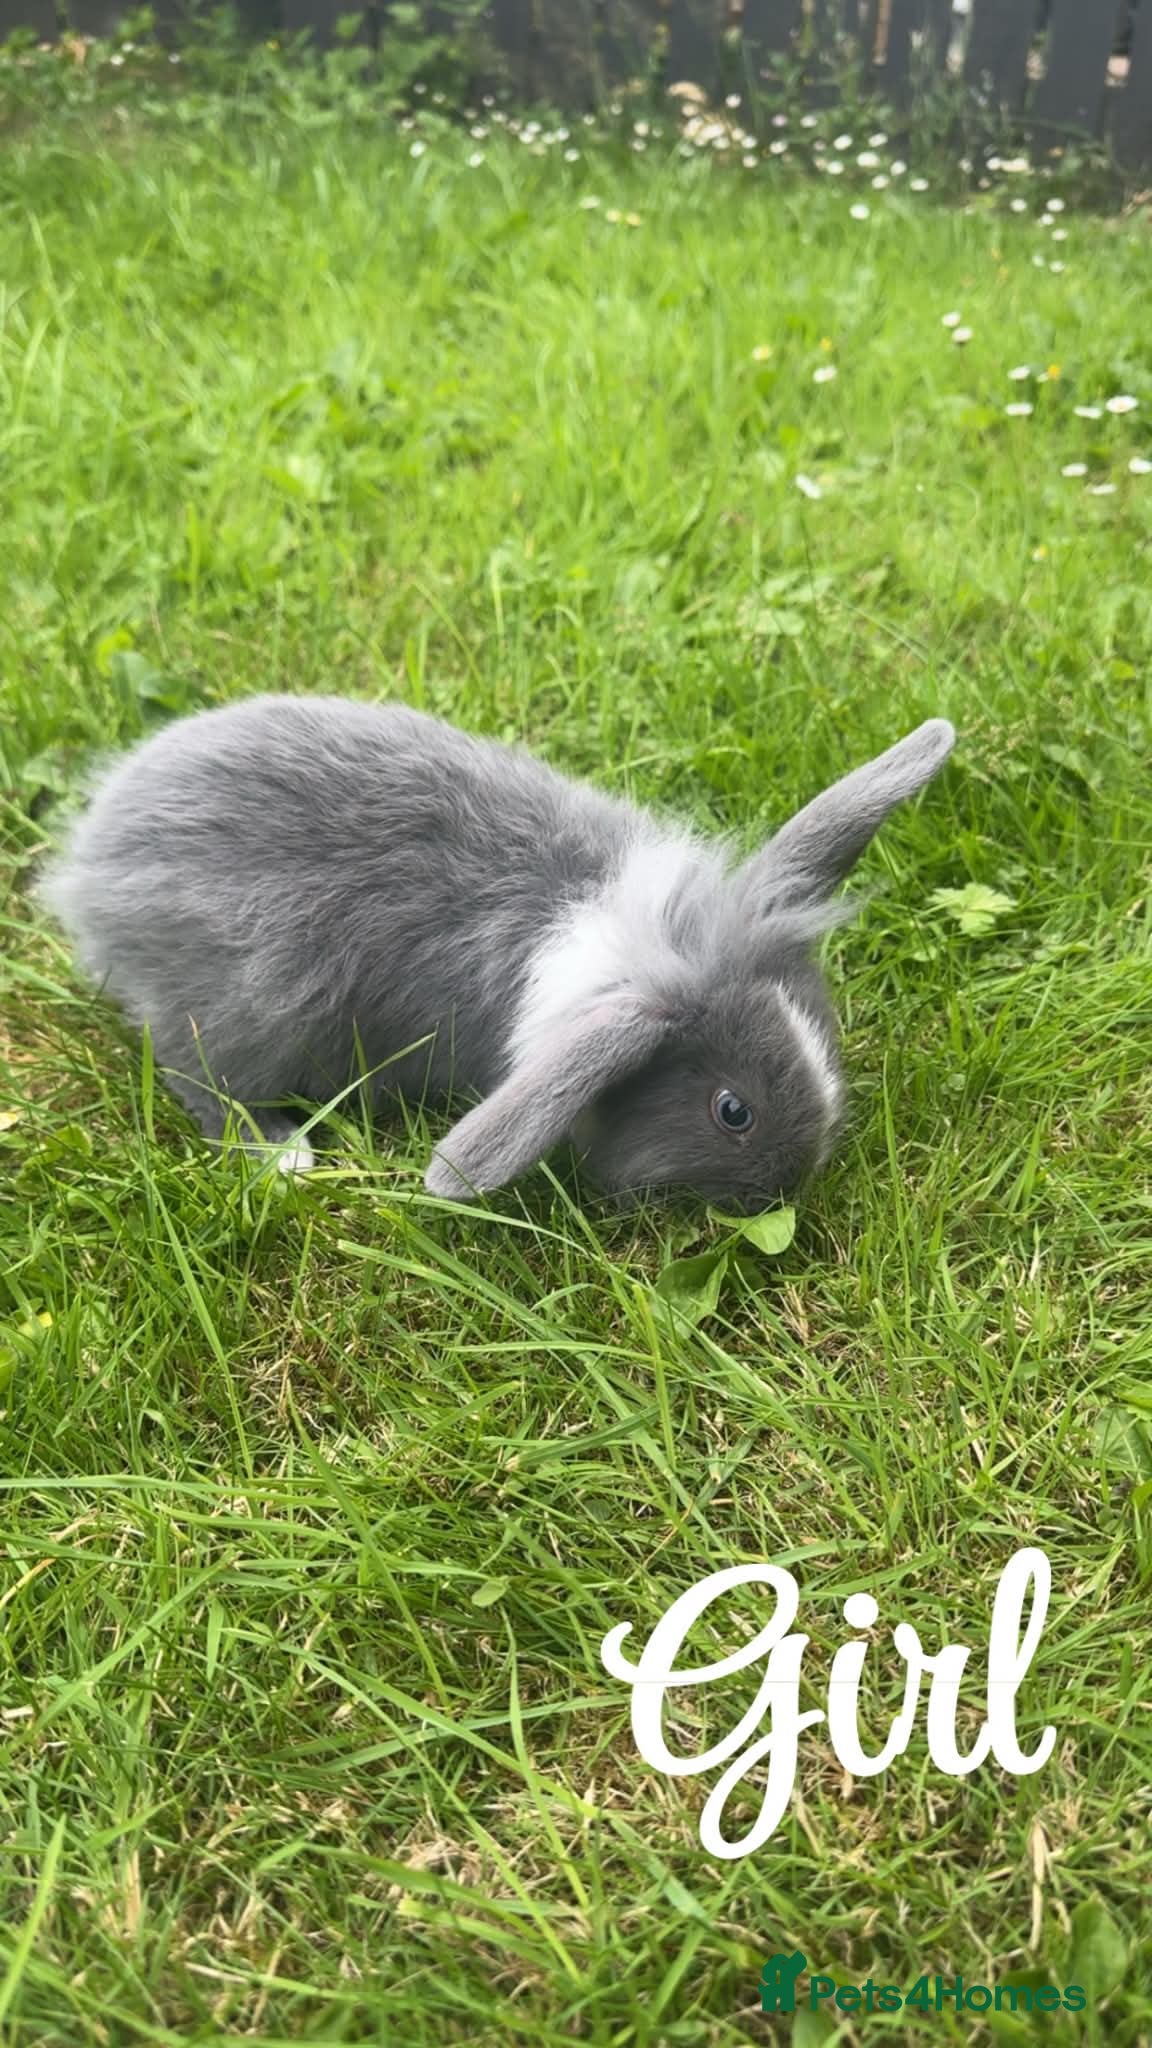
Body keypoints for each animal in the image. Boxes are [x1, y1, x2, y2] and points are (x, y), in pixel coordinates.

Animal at [39, 693, 955, 1208]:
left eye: (825, 1036)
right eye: (734, 1112)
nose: (796, 1179)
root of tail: (95, 852)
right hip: (253, 1010)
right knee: (194, 1073)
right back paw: (286, 1154)